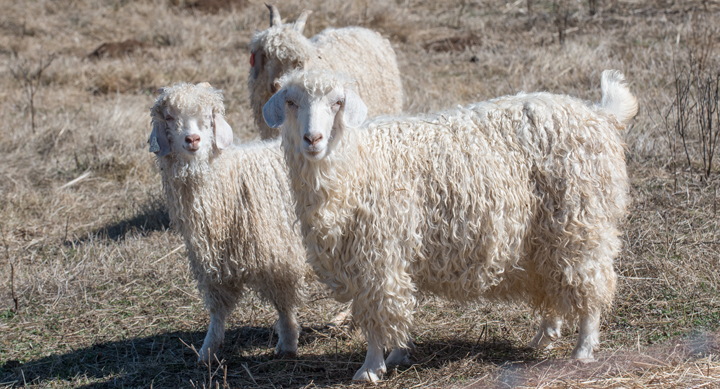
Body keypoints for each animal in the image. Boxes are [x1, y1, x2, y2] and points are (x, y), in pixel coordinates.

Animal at [149, 81, 310, 360]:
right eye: (169, 118)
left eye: (208, 117)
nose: (192, 139)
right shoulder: (216, 263)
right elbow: (218, 311)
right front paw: (207, 350)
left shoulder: (279, 256)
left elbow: (284, 306)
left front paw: (288, 343)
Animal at [262, 68, 636, 380]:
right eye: (291, 102)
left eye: (337, 103)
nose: (313, 139)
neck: (357, 163)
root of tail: (600, 114)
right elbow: (398, 307)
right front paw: (398, 354)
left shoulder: (378, 256)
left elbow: (378, 315)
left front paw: (370, 368)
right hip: (546, 234)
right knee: (554, 281)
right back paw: (544, 336)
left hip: (581, 222)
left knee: (591, 283)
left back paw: (583, 351)